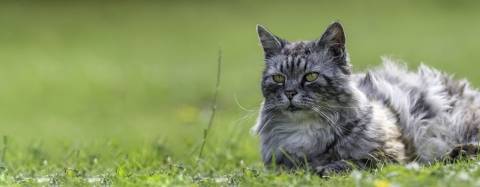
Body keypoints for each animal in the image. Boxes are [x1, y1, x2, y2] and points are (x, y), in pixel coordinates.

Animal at [251, 21, 480, 177]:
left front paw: (324, 168)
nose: (290, 93)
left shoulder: (390, 155)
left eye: (311, 76)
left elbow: (353, 162)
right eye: (279, 78)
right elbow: (284, 169)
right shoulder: (278, 163)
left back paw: (460, 152)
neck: (306, 131)